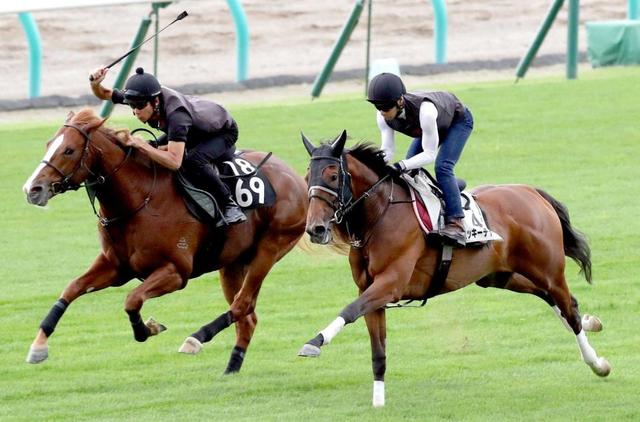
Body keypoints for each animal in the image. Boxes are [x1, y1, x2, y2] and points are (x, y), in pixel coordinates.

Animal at [22, 109, 308, 372]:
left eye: (69, 150)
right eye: (49, 144)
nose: (32, 189)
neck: (139, 199)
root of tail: (298, 179)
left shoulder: (175, 272)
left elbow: (132, 300)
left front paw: (148, 329)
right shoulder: (115, 266)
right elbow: (71, 289)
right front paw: (38, 346)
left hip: (269, 249)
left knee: (242, 305)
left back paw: (196, 339)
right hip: (232, 263)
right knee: (248, 317)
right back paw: (231, 368)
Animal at [298, 131, 608, 406]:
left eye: (333, 176)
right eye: (307, 178)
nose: (315, 229)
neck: (380, 216)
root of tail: (530, 191)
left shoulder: (390, 284)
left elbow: (349, 310)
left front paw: (314, 342)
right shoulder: (372, 292)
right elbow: (378, 350)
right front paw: (378, 402)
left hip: (547, 270)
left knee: (567, 307)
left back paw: (597, 363)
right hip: (500, 275)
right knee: (556, 301)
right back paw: (592, 324)